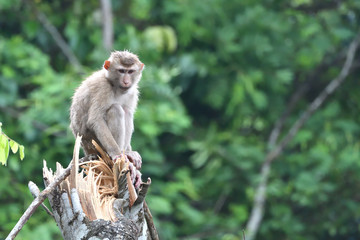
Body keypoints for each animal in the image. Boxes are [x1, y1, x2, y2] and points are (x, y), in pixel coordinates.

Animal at [70, 50, 143, 186]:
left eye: (130, 71)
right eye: (121, 71)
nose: (126, 81)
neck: (115, 86)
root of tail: (86, 149)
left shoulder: (132, 92)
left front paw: (130, 156)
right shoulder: (102, 88)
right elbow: (96, 120)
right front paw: (118, 156)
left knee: (126, 112)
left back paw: (127, 154)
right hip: (93, 143)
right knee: (116, 109)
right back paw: (119, 156)